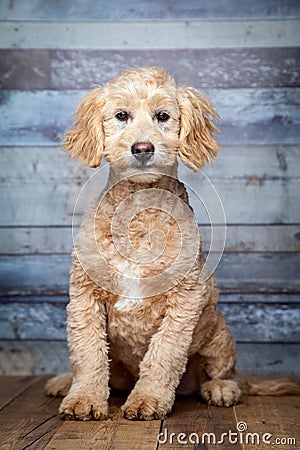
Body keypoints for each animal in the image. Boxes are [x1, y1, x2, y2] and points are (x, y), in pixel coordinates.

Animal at [45, 67, 241, 422]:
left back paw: (220, 388)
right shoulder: (85, 296)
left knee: (223, 370)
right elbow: (88, 354)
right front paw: (84, 398)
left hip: (218, 332)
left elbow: (163, 354)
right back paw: (64, 382)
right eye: (122, 115)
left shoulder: (184, 301)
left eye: (162, 116)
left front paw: (148, 398)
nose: (142, 147)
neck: (138, 210)